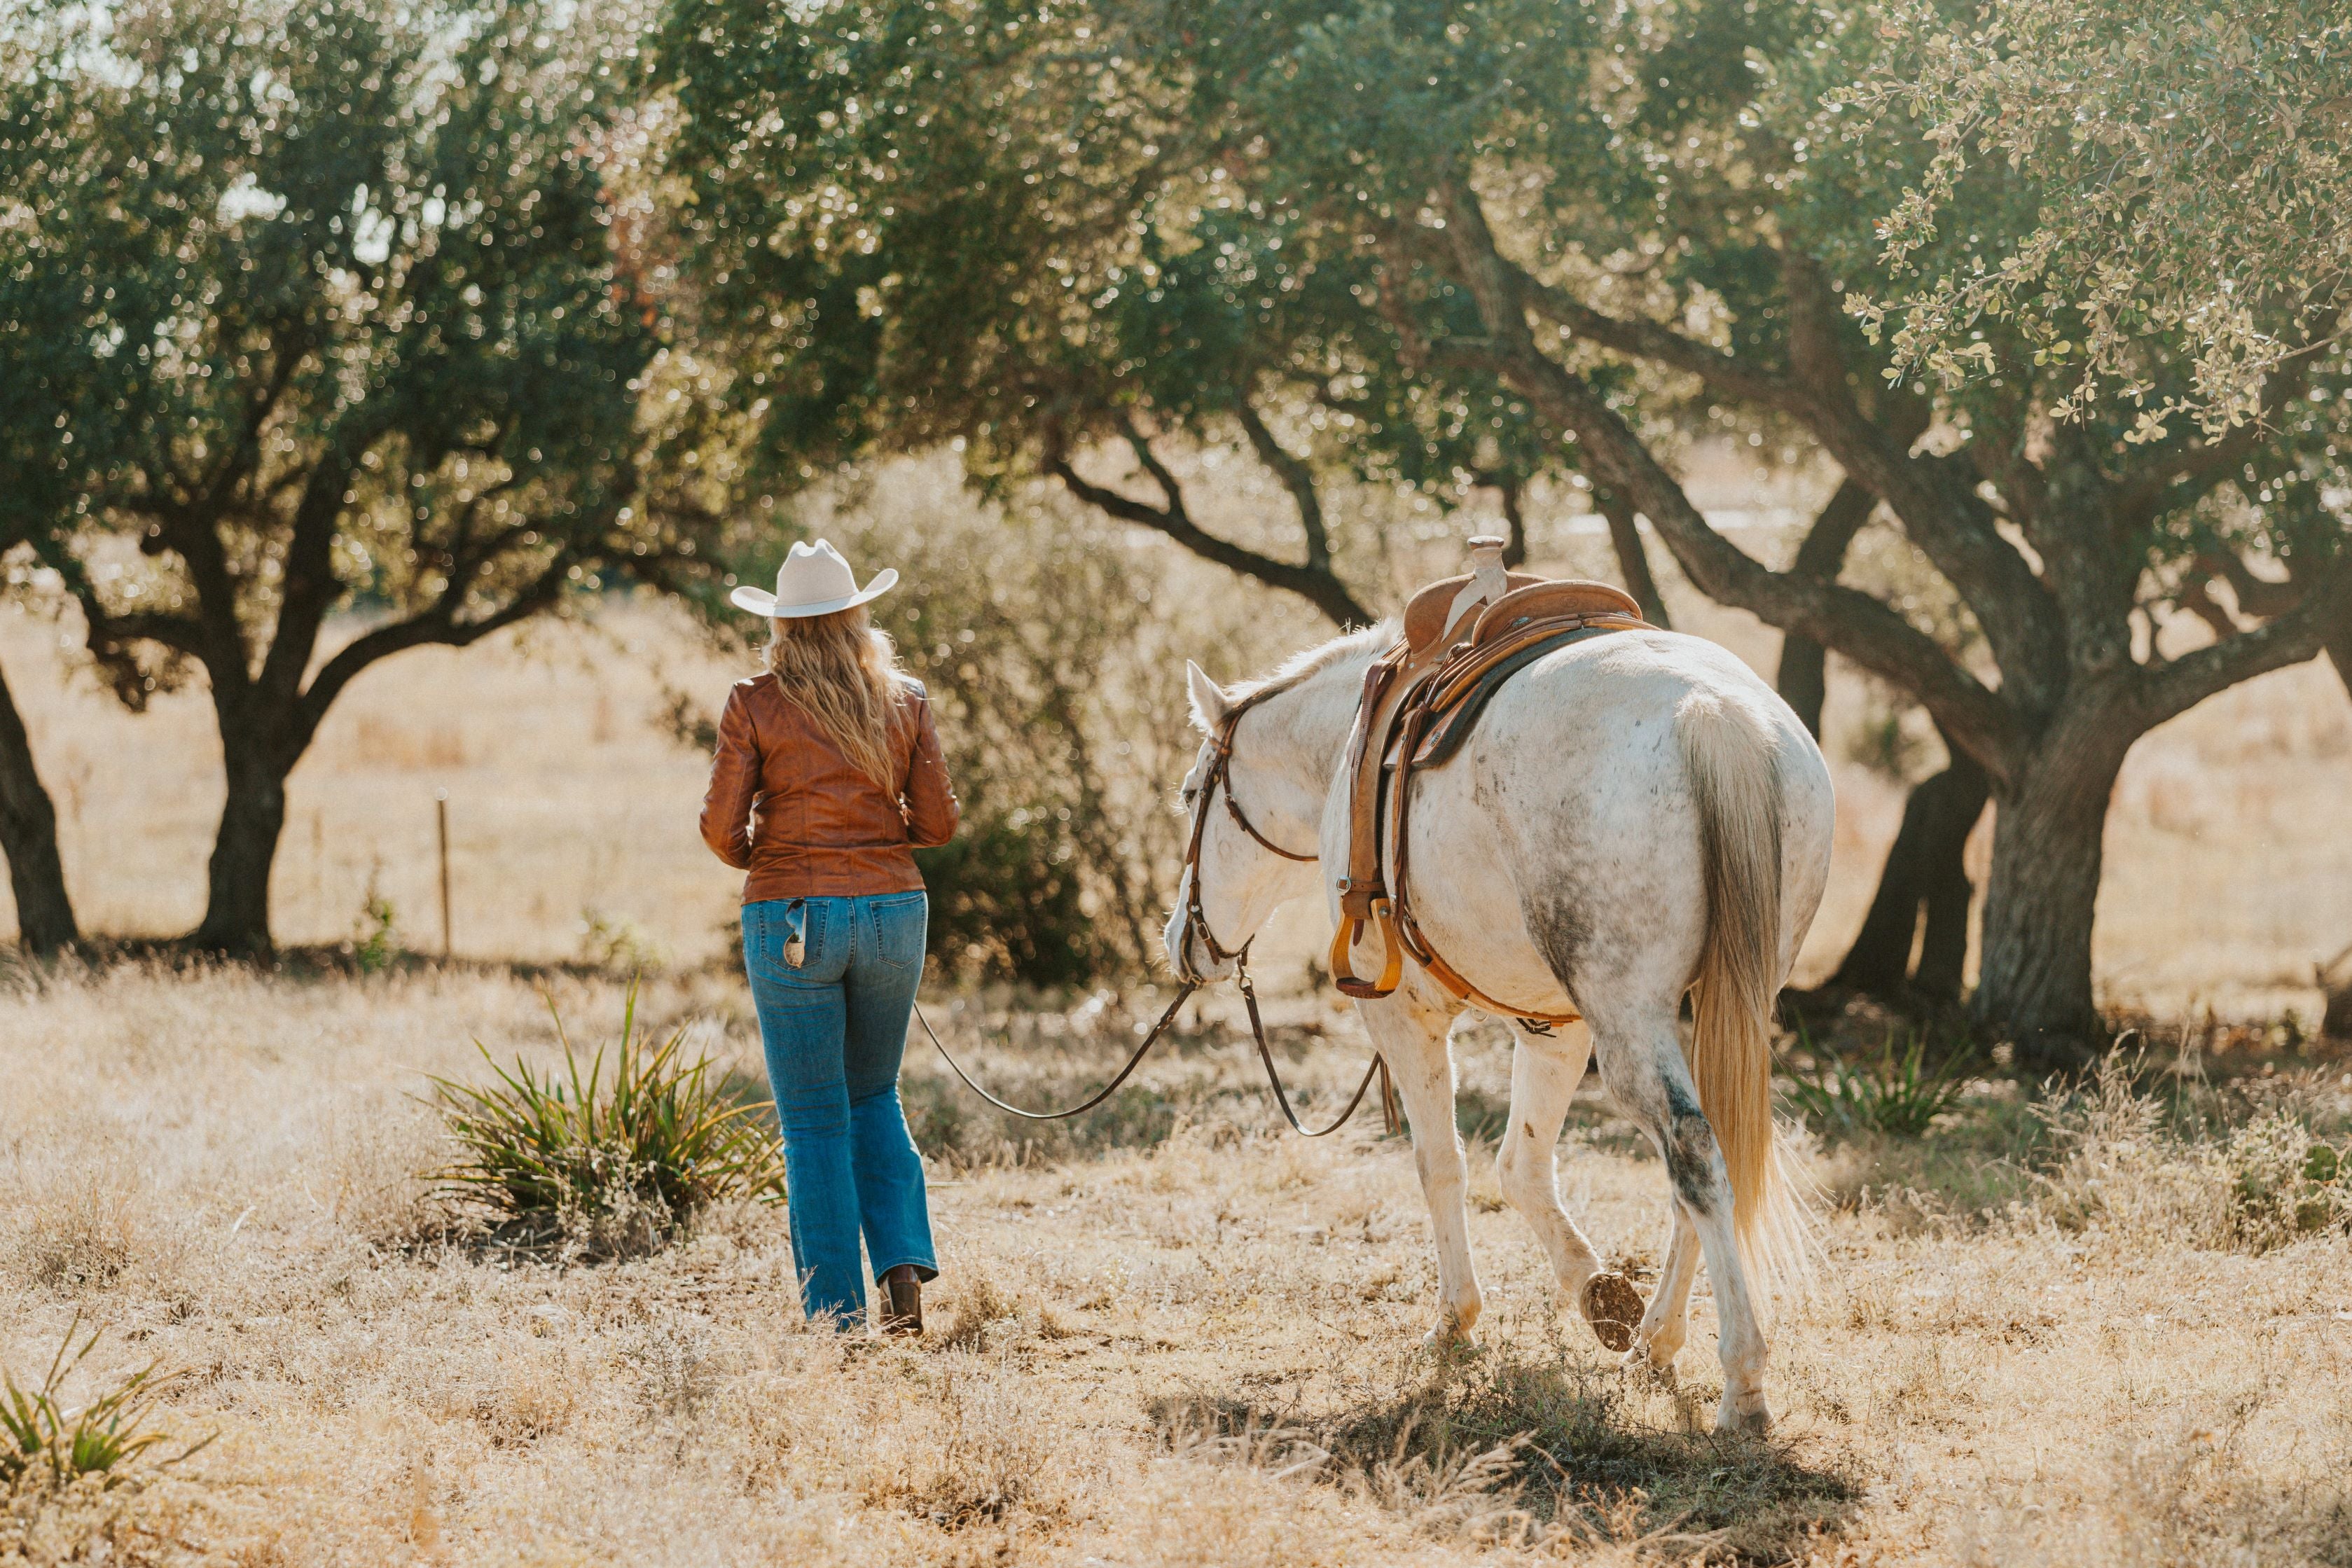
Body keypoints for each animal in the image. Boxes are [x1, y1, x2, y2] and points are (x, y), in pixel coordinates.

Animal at [1161, 620, 1834, 1429]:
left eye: (1190, 794)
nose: (1180, 938)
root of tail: (1715, 714)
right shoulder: (1553, 1024)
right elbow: (1521, 1167)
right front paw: (1600, 1296)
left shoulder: (1400, 1015)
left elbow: (1440, 1163)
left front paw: (1455, 1322)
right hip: (1719, 1005)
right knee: (1711, 1155)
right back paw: (1655, 1341)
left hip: (1632, 1024)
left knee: (1693, 1150)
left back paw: (1743, 1383)